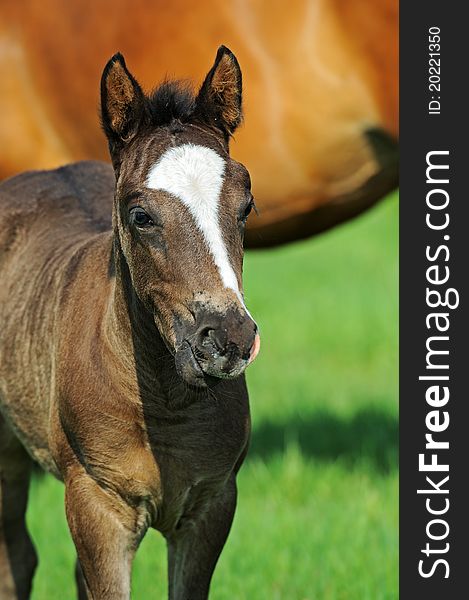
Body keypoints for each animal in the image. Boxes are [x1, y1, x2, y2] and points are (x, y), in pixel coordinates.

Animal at [0, 49, 260, 600]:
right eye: (140, 215)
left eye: (246, 207)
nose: (226, 338)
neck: (166, 403)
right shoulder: (98, 505)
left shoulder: (211, 504)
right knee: (15, 560)